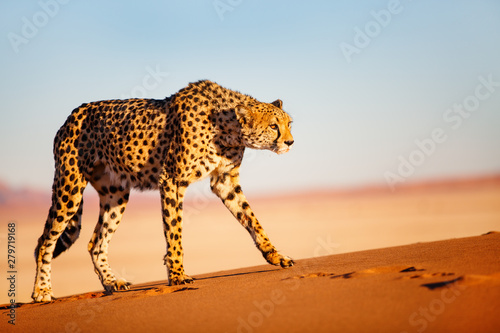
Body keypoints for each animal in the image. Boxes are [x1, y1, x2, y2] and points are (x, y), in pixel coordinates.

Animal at [32, 80, 292, 300]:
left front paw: (275, 255)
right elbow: (174, 230)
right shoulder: (172, 180)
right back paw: (42, 291)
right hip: (69, 188)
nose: (290, 142)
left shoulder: (224, 181)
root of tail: (73, 114)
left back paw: (112, 283)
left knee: (95, 242)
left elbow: (252, 219)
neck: (228, 126)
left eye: (289, 123)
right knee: (45, 241)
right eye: (273, 126)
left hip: (116, 194)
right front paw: (177, 275)